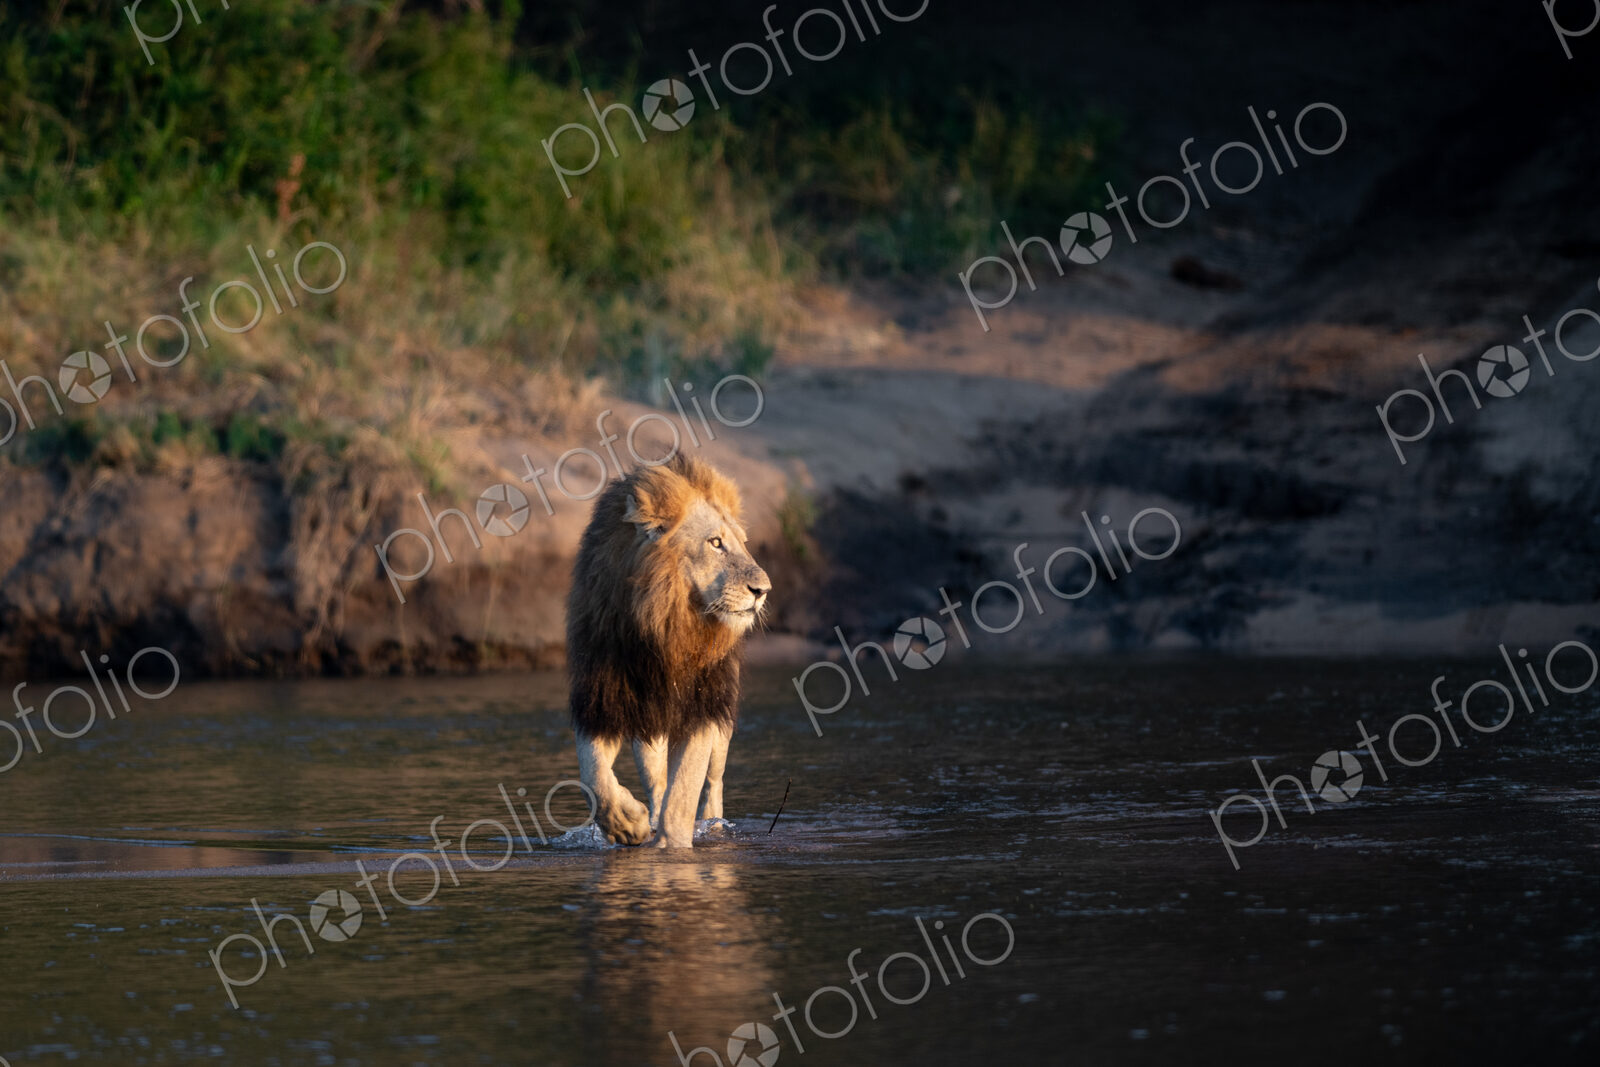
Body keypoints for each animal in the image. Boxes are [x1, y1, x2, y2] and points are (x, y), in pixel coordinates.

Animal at [566, 452, 771, 848]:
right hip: (648, 734)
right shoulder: (602, 700)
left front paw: (672, 847)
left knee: (713, 782)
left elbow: (685, 790)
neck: (663, 626)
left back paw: (713, 827)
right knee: (657, 781)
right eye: (715, 543)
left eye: (742, 542)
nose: (762, 590)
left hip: (721, 724)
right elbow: (592, 776)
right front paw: (627, 823)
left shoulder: (701, 708)